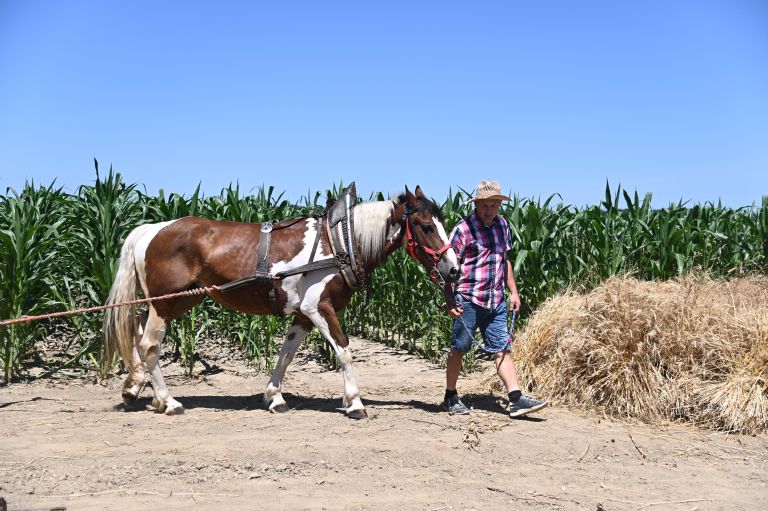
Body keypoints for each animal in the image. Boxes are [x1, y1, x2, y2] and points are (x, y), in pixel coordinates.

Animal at [104, 186, 460, 418]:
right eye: (426, 226)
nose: (454, 268)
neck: (340, 242)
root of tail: (152, 229)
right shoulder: (320, 308)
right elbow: (344, 351)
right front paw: (355, 403)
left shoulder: (303, 313)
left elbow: (286, 354)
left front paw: (274, 397)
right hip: (166, 304)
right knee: (149, 344)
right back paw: (169, 402)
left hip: (175, 301)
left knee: (137, 334)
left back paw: (135, 388)